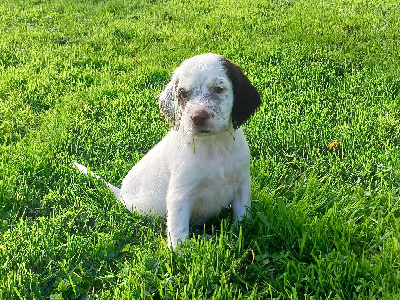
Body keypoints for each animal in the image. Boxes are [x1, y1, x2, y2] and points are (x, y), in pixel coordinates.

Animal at [75, 53, 262, 248]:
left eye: (218, 89)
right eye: (183, 94)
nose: (198, 117)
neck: (213, 145)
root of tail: (122, 196)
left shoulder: (242, 183)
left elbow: (242, 216)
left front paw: (242, 232)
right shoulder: (180, 195)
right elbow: (178, 231)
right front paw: (179, 253)